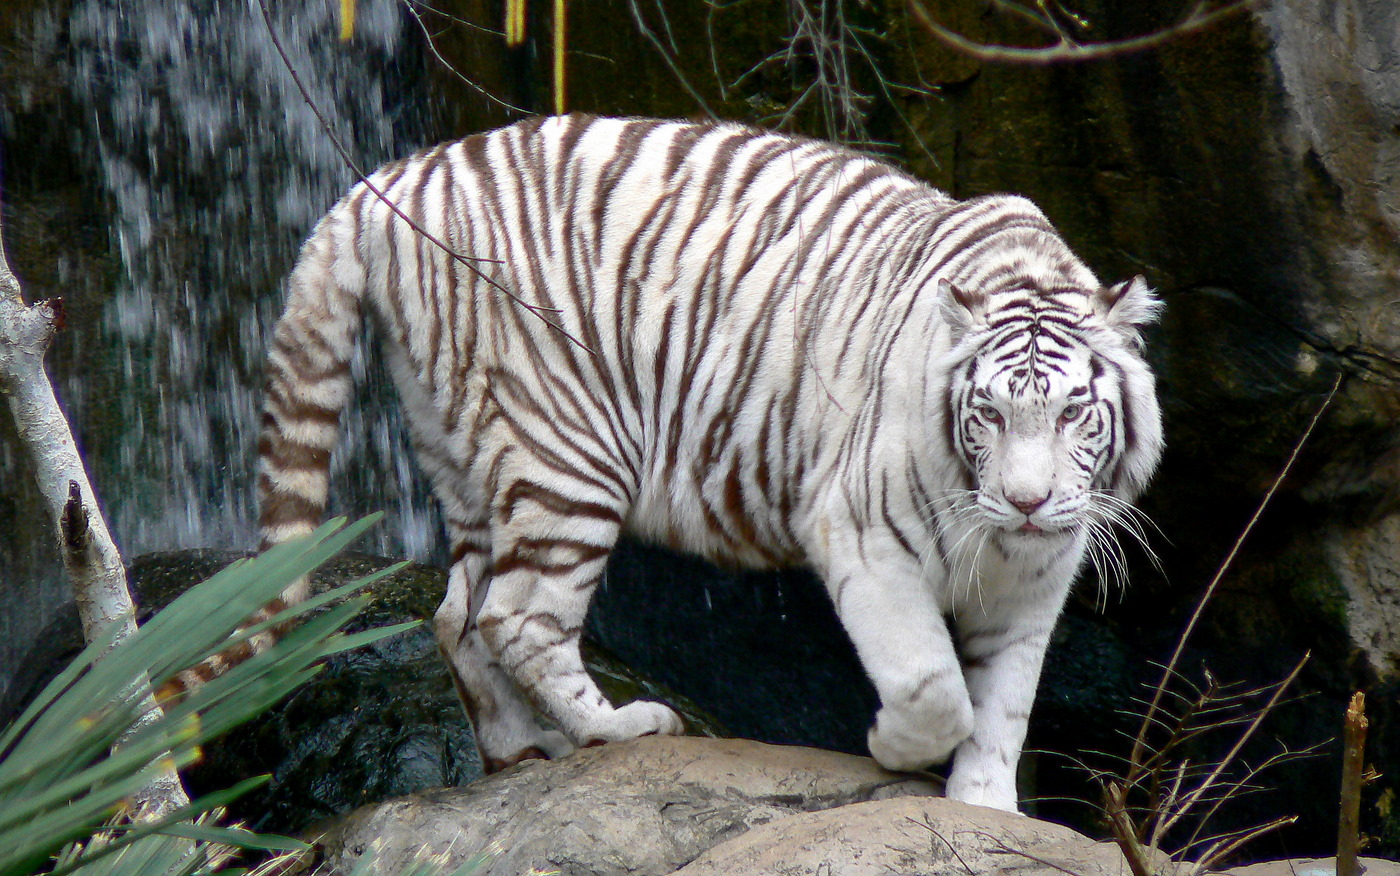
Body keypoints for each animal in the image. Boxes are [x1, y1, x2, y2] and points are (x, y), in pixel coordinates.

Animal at [255, 113, 1164, 812]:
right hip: (567, 453)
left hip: (464, 450)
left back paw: (524, 752)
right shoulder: (865, 537)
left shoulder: (1035, 582)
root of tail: (397, 176)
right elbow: (932, 684)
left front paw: (985, 807)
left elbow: (1005, 707)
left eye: (1073, 413)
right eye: (989, 415)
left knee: (458, 614)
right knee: (519, 615)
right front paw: (892, 745)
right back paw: (616, 728)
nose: (1027, 502)